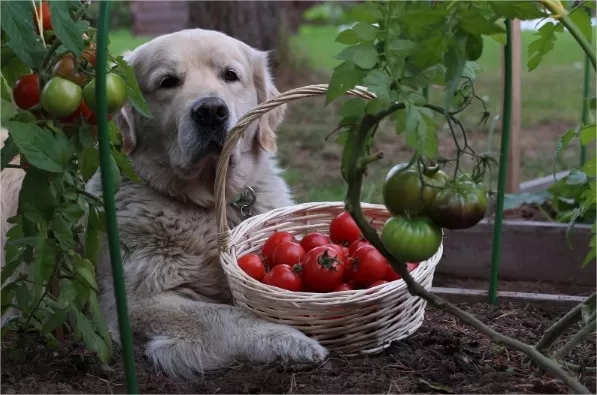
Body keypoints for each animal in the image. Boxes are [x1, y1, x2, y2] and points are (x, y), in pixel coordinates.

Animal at [0, 28, 326, 380]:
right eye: (167, 82)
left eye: (230, 75)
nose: (211, 111)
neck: (204, 204)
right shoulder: (135, 302)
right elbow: (228, 315)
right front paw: (293, 340)